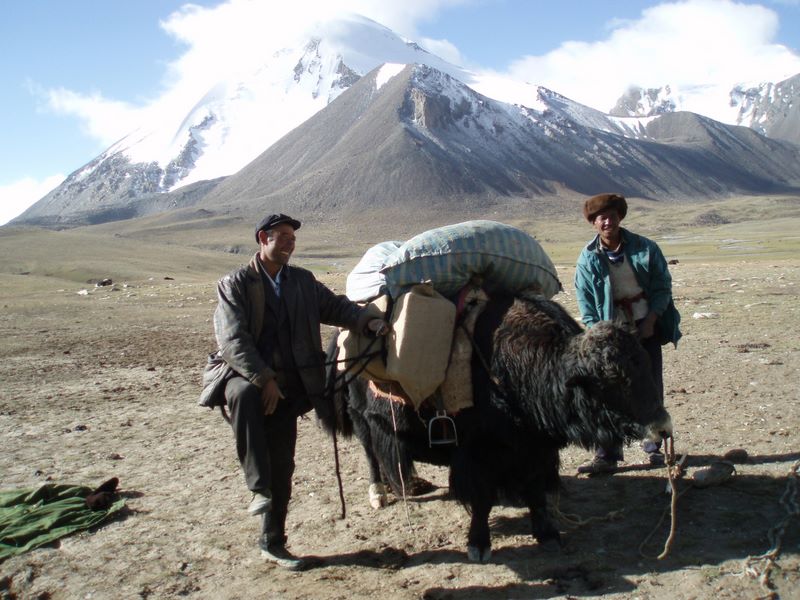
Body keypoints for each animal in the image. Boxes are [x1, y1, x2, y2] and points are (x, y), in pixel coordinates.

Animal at [320, 292, 672, 562]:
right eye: (612, 377)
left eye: (644, 361)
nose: (663, 427)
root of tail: (341, 337)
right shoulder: (480, 453)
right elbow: (483, 499)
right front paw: (479, 545)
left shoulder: (536, 449)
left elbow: (535, 490)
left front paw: (548, 534)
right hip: (362, 417)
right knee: (371, 454)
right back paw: (380, 494)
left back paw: (410, 485)